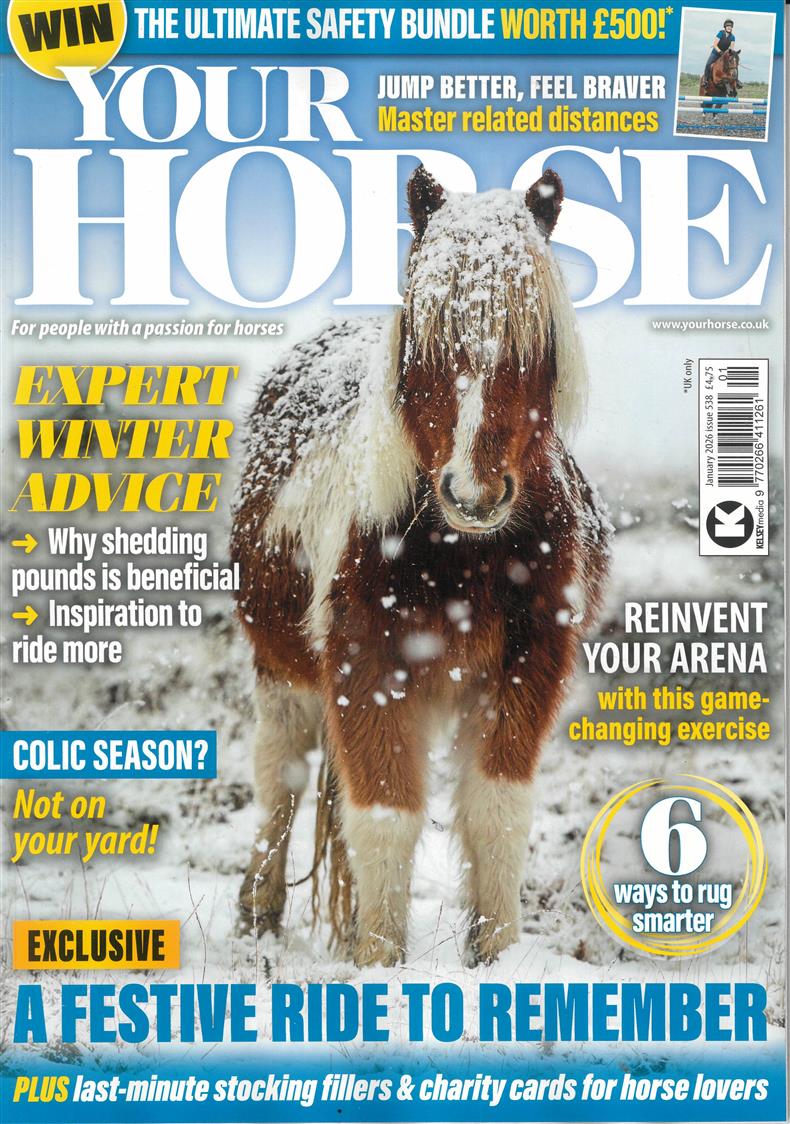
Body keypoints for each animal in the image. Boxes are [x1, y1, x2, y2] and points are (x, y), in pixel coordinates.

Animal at [230, 165, 611, 968]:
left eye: (537, 341)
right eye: (427, 340)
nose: (473, 493)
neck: (461, 557)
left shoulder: (531, 665)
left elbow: (496, 810)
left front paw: (496, 958)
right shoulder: (366, 669)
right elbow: (385, 815)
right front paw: (379, 963)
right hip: (282, 668)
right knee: (281, 774)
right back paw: (258, 915)